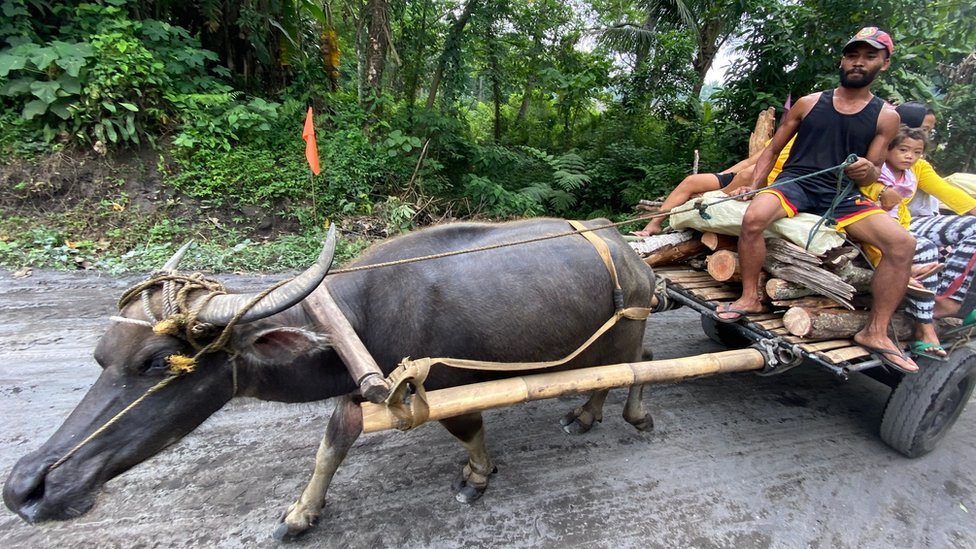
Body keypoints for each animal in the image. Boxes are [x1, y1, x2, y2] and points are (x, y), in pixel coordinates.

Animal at [3, 216, 656, 536]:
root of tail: (631, 252)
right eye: (101, 357)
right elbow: (332, 445)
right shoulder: (354, 391)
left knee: (637, 364)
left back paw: (627, 414)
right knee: (615, 371)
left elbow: (469, 431)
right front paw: (301, 513)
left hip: (625, 331)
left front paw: (476, 477)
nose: (27, 487)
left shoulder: (446, 388)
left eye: (160, 363)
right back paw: (588, 416)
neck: (359, 315)